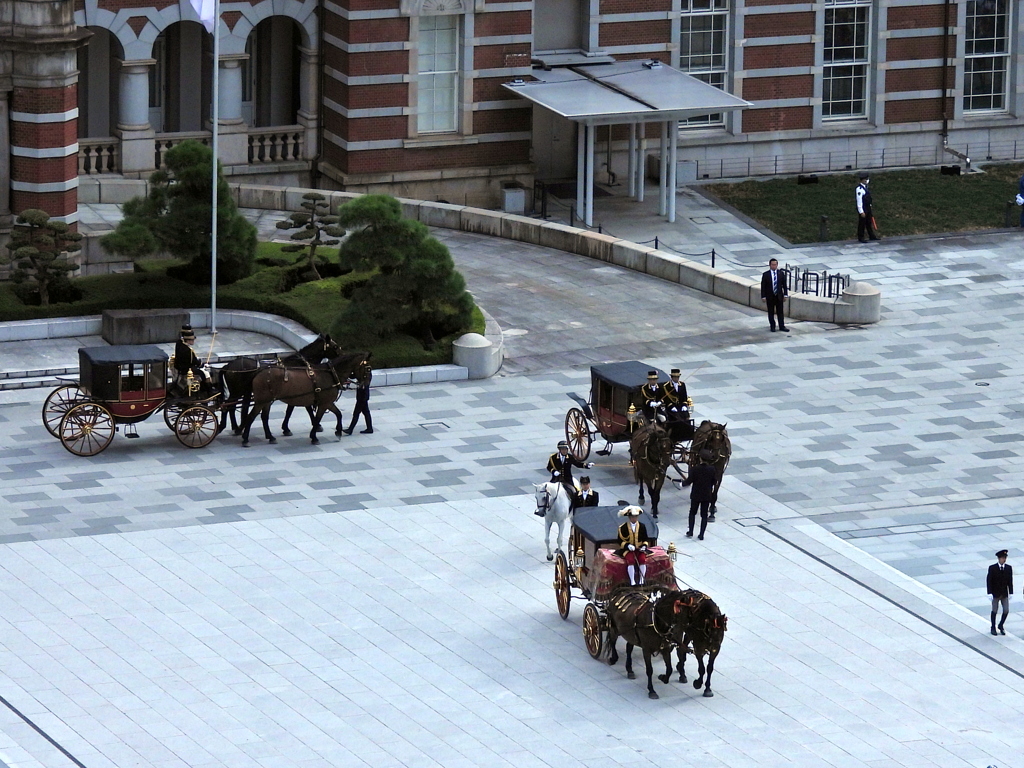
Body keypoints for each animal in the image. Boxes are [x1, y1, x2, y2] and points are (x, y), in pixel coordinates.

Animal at [238, 348, 368, 444]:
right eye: (367, 368)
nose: (365, 384)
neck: (331, 374)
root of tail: (259, 371)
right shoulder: (324, 403)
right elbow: (318, 418)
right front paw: (315, 437)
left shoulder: (326, 403)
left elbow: (338, 414)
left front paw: (338, 431)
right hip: (262, 401)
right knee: (251, 416)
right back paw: (245, 439)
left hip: (266, 401)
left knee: (264, 417)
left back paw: (270, 437)